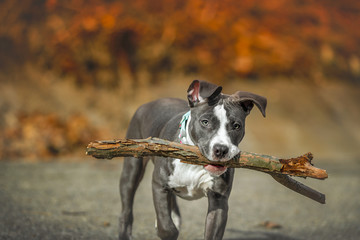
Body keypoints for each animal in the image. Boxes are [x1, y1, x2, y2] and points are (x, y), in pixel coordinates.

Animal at [119, 79, 266, 239]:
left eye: (237, 126)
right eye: (205, 122)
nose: (221, 149)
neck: (193, 162)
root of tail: (149, 103)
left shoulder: (219, 200)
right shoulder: (159, 185)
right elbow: (167, 227)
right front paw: (163, 228)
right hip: (132, 166)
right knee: (127, 206)